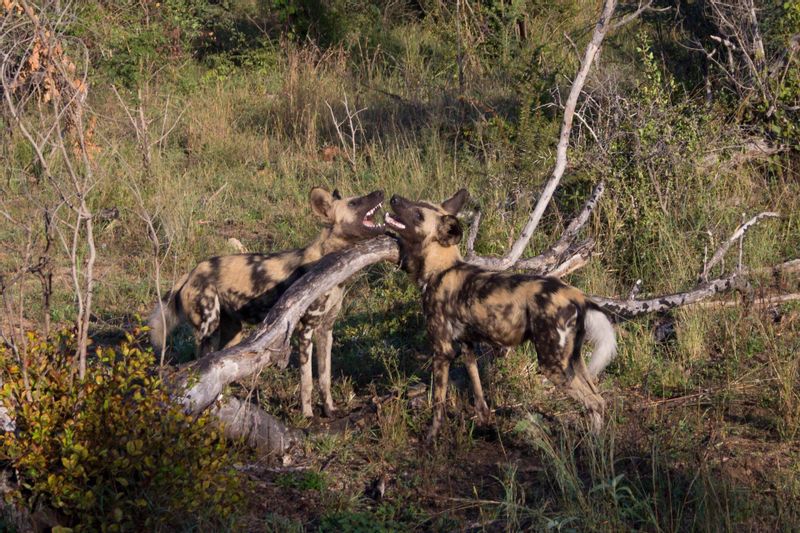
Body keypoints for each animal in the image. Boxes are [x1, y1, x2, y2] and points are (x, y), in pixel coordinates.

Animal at [151, 187, 388, 416]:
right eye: (354, 203)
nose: (380, 192)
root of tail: (191, 273)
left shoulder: (325, 330)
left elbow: (325, 377)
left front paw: (329, 410)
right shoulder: (306, 331)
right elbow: (307, 381)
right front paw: (307, 415)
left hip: (234, 333)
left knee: (220, 367)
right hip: (209, 328)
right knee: (203, 367)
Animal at [388, 189, 620, 438]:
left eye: (418, 215)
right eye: (416, 203)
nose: (393, 198)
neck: (441, 269)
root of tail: (578, 296)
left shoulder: (442, 351)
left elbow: (438, 403)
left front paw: (431, 437)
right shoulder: (467, 346)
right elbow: (478, 388)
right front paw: (484, 422)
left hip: (552, 365)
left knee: (594, 402)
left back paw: (592, 443)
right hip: (573, 360)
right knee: (598, 399)